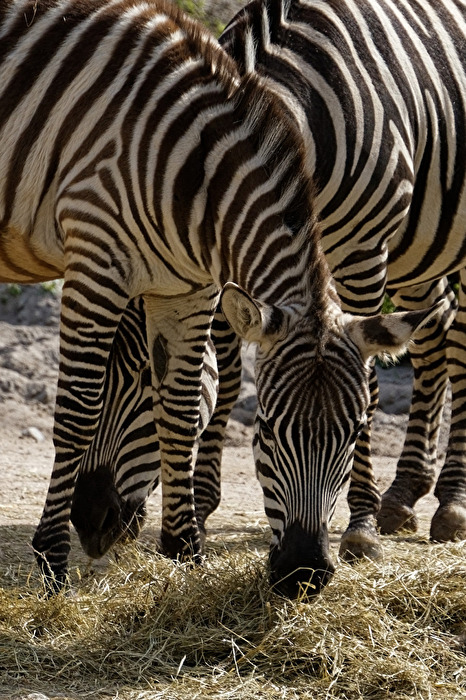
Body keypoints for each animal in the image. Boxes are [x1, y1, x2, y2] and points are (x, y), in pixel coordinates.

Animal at [0, 0, 436, 597]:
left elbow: (182, 412)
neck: (195, 173)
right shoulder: (95, 257)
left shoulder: (192, 287)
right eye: (267, 430)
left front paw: (186, 555)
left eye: (352, 435)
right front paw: (52, 564)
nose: (303, 572)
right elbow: (78, 410)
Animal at [191, 0, 466, 571]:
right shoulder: (223, 259)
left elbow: (370, 384)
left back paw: (450, 501)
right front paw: (200, 512)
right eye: (266, 428)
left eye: (355, 430)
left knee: (462, 338)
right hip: (417, 246)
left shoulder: (362, 253)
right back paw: (405, 493)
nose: (304, 564)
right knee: (436, 329)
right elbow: (226, 376)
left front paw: (360, 527)